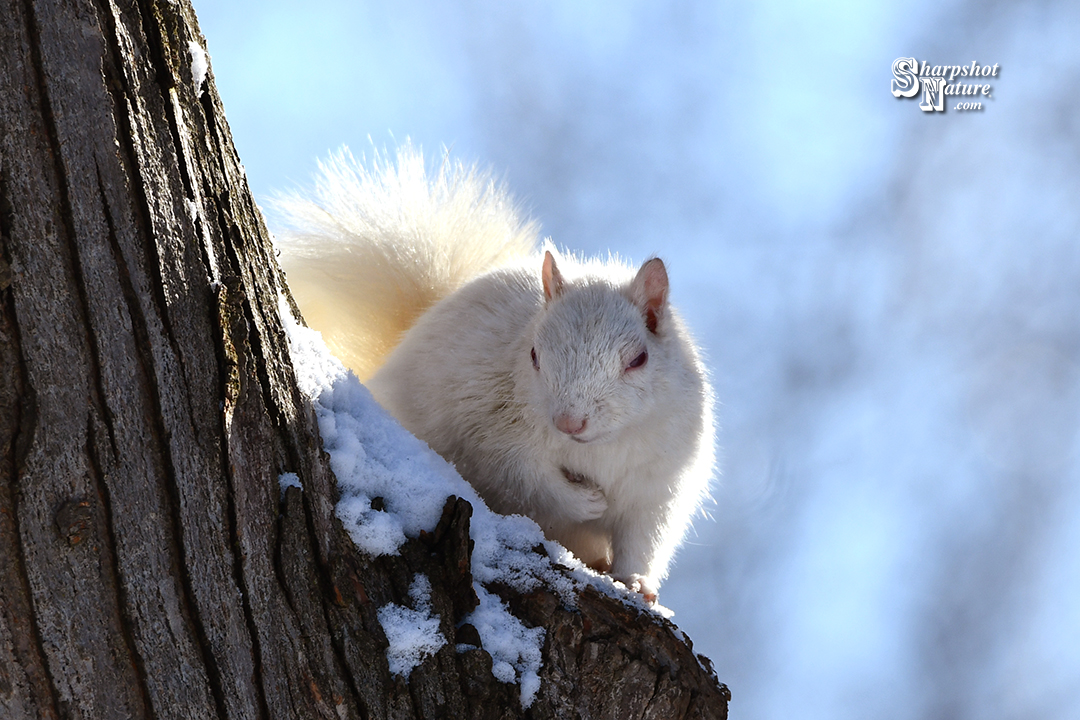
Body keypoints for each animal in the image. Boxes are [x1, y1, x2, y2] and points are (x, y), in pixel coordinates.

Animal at [274, 144, 717, 604]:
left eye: (638, 359)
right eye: (535, 354)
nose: (568, 423)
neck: (597, 449)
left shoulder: (664, 479)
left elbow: (644, 537)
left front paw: (635, 582)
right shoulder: (492, 432)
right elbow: (528, 480)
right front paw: (587, 502)